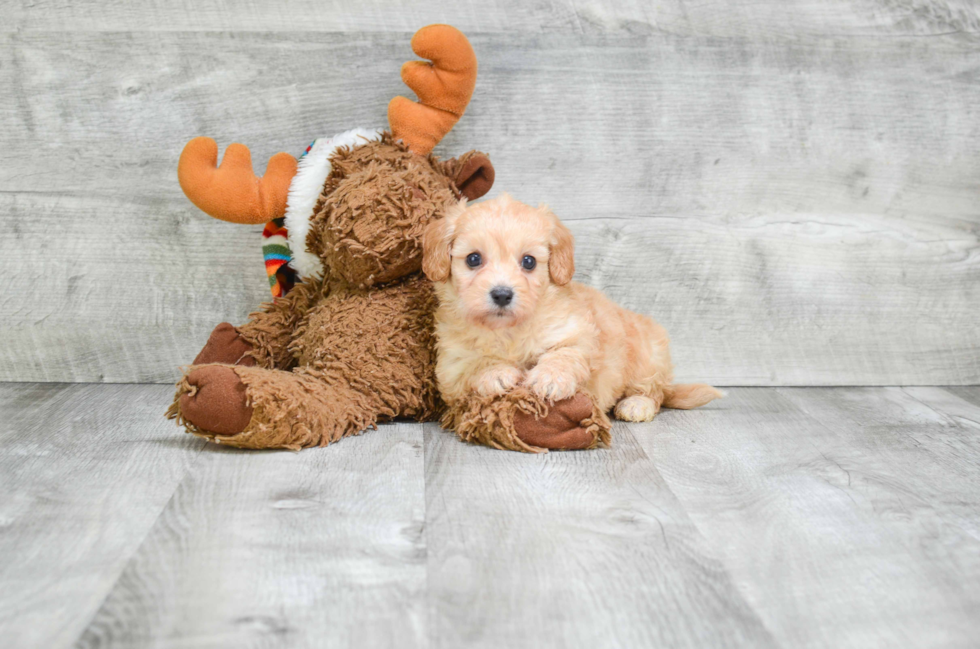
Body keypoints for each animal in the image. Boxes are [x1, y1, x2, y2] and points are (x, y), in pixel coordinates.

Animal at [422, 194, 720, 420]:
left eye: (529, 262)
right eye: (473, 259)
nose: (502, 294)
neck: (508, 330)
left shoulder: (576, 334)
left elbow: (565, 354)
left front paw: (550, 378)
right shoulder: (450, 366)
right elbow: (474, 364)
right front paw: (496, 372)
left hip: (648, 356)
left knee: (654, 392)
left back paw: (636, 405)